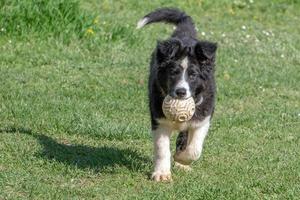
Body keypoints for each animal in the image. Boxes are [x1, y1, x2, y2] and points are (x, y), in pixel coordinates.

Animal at [137, 8, 217, 181]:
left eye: (193, 75)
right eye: (173, 72)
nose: (181, 92)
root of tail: (184, 34)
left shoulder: (203, 117)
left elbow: (195, 149)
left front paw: (181, 158)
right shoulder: (159, 119)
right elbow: (162, 149)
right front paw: (162, 174)